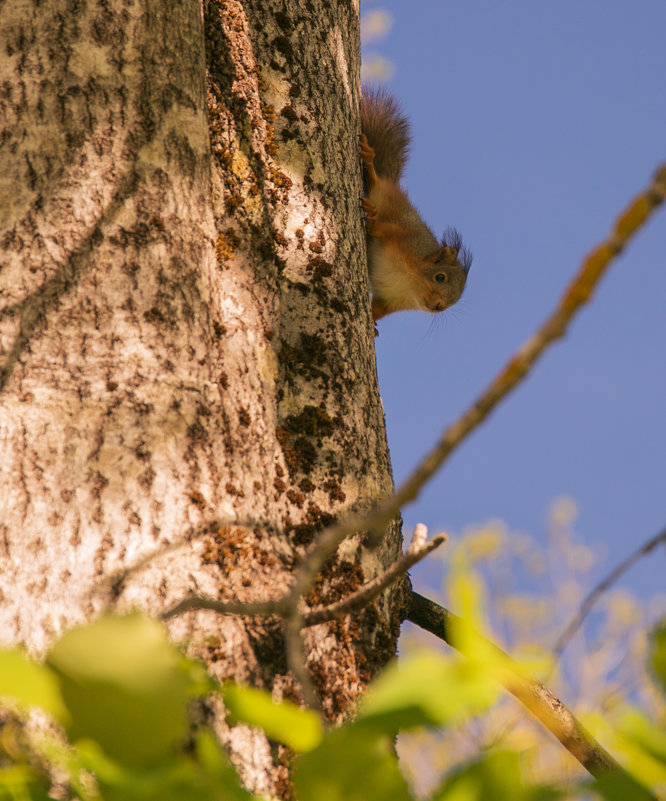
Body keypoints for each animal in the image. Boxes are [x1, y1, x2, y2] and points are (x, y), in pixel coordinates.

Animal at [358, 88, 472, 322]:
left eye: (452, 302)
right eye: (440, 277)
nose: (438, 306)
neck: (409, 282)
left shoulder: (391, 301)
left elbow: (379, 309)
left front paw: (372, 324)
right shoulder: (404, 239)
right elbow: (386, 230)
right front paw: (374, 224)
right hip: (386, 192)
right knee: (377, 182)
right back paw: (370, 163)